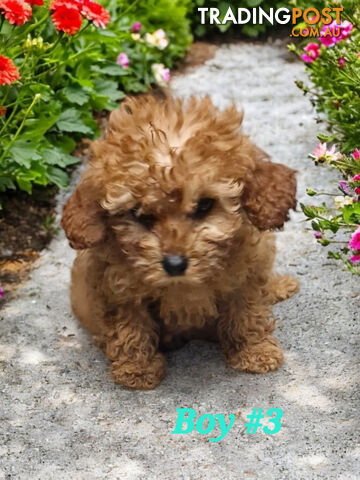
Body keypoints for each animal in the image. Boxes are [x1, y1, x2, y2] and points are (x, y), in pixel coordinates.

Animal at [61, 94, 298, 390]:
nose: (174, 264)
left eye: (205, 204)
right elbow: (130, 327)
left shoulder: (246, 274)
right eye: (139, 214)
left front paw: (255, 352)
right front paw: (137, 370)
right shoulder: (116, 289)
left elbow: (246, 312)